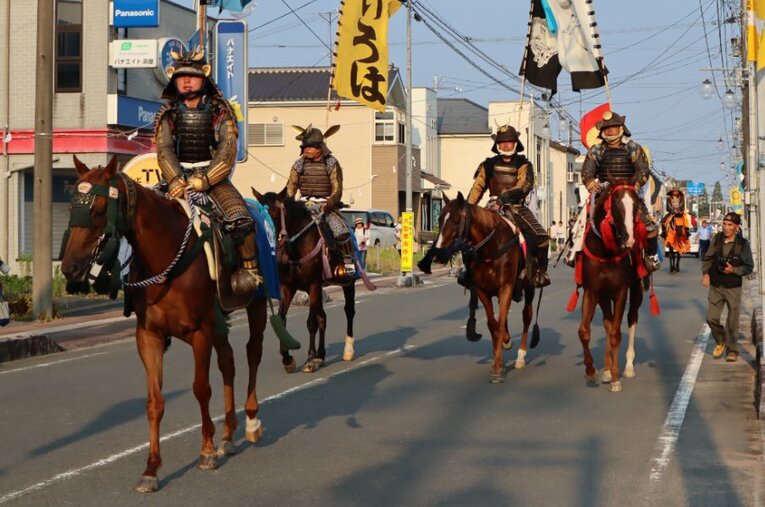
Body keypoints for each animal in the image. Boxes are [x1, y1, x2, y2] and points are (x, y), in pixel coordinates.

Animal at [61, 156, 268, 492]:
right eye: (71, 207)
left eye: (98, 209)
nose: (70, 267)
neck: (166, 257)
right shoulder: (149, 336)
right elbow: (154, 402)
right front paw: (151, 469)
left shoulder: (200, 332)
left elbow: (201, 389)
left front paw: (206, 451)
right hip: (218, 317)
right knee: (228, 362)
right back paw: (228, 435)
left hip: (256, 302)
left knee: (253, 353)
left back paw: (250, 422)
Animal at [253, 188, 364, 374]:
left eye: (273, 214)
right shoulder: (288, 288)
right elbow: (282, 319)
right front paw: (287, 358)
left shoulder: (313, 285)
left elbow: (311, 323)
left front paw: (310, 360)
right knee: (323, 318)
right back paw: (321, 355)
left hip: (348, 282)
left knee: (349, 311)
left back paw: (347, 350)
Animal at [425, 192, 539, 384]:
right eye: (439, 218)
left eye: (456, 219)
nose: (438, 254)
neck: (490, 249)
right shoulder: (482, 291)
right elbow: (493, 323)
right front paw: (498, 358)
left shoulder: (506, 287)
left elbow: (500, 322)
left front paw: (499, 365)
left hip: (529, 287)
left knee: (527, 316)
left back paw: (521, 356)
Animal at [567, 182, 658, 392]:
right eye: (615, 205)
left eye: (636, 204)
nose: (630, 239)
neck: (605, 251)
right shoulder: (592, 291)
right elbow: (585, 331)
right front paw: (591, 371)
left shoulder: (620, 291)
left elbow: (617, 332)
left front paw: (616, 378)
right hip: (603, 295)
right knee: (607, 323)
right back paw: (607, 370)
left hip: (636, 290)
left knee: (632, 318)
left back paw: (628, 367)